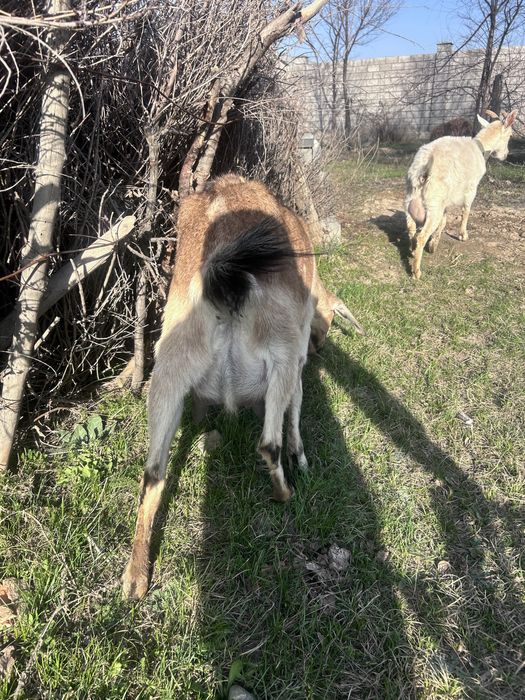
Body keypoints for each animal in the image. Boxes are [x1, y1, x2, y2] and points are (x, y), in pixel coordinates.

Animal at [122, 174, 362, 599]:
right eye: (329, 320)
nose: (319, 346)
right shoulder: (294, 360)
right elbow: (295, 415)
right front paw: (303, 460)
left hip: (168, 373)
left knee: (153, 471)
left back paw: (135, 576)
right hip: (281, 356)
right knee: (269, 444)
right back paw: (285, 492)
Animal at [406, 109, 517, 279]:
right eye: (510, 135)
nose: (505, 155)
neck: (480, 147)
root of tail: (423, 167)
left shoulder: (446, 200)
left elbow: (444, 221)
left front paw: (434, 244)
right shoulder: (471, 189)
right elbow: (466, 211)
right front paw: (463, 235)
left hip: (411, 199)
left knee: (411, 227)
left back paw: (412, 251)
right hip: (433, 204)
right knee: (421, 236)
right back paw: (416, 271)